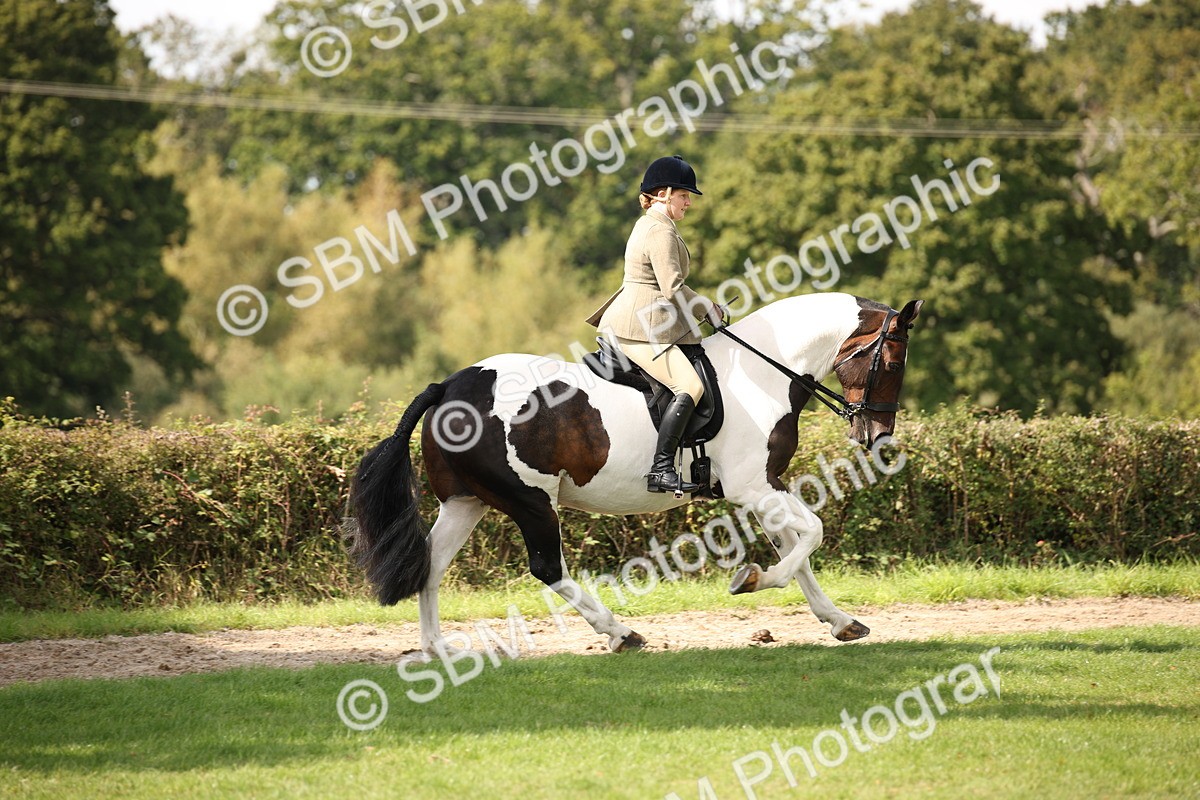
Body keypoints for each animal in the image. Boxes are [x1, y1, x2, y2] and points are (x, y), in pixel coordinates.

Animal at [346, 292, 922, 658]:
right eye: (893, 362)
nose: (877, 436)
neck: (764, 373)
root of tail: (447, 387)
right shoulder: (752, 487)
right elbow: (812, 536)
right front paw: (752, 579)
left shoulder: (766, 486)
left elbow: (797, 550)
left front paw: (840, 621)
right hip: (530, 500)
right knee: (546, 568)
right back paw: (620, 633)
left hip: (467, 501)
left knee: (432, 564)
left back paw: (437, 647)